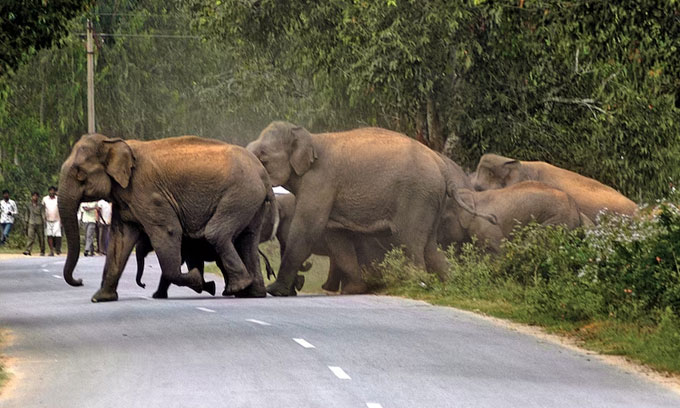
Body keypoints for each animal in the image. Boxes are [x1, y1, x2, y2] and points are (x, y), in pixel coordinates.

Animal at [59, 132, 276, 302]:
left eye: (80, 174)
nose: (80, 281)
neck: (114, 142)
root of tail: (263, 173)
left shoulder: (149, 194)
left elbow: (168, 231)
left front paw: (197, 279)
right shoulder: (125, 198)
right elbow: (120, 240)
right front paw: (100, 298)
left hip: (240, 193)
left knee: (217, 233)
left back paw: (236, 288)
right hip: (251, 200)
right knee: (247, 240)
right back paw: (252, 293)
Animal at [246, 119, 478, 294]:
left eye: (263, 155)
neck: (310, 138)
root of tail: (440, 164)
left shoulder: (320, 181)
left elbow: (307, 228)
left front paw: (275, 291)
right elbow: (336, 236)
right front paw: (354, 289)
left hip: (417, 196)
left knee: (409, 241)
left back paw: (416, 285)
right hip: (431, 199)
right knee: (429, 245)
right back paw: (450, 285)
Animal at [438, 181, 588, 252]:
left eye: (444, 220)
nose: (493, 218)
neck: (473, 196)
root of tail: (576, 209)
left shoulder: (485, 228)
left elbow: (497, 251)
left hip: (558, 221)